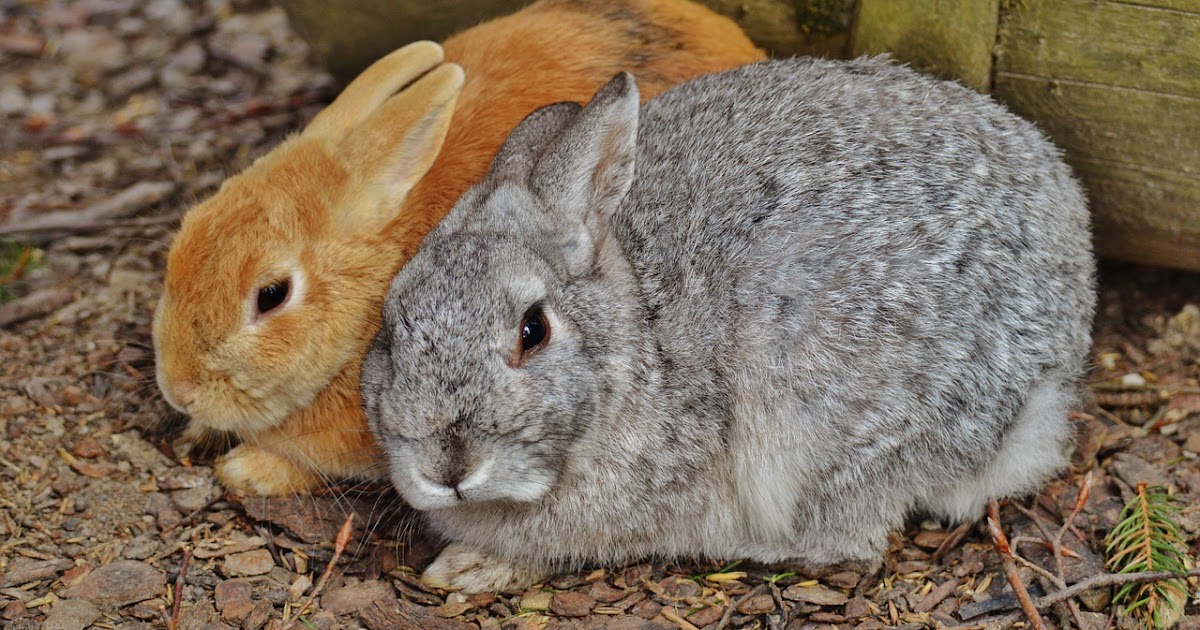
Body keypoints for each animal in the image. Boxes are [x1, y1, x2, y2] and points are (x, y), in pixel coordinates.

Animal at [360, 56, 1097, 593]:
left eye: (532, 330)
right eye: (391, 327)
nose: (447, 466)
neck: (641, 335)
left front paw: (472, 568)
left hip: (831, 422)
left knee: (847, 541)